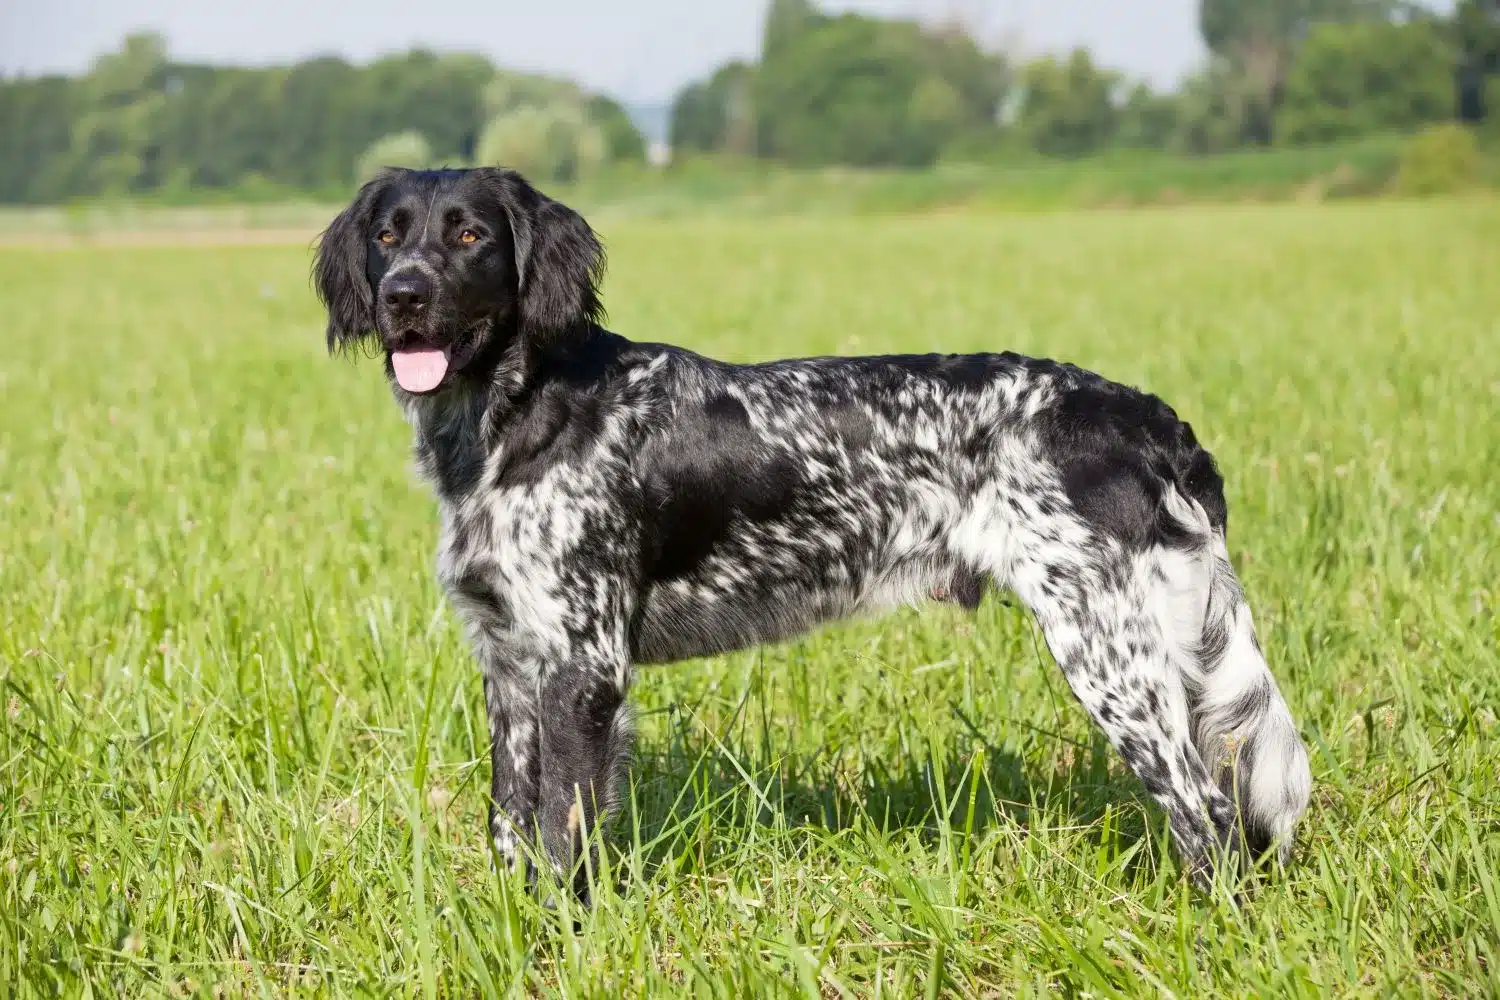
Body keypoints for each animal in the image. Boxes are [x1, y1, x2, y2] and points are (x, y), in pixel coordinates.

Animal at [313, 166, 1314, 899]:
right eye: (388, 235)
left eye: (470, 236)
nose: (403, 295)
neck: (522, 411)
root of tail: (1149, 418)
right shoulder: (511, 662)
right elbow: (512, 826)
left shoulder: (582, 667)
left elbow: (564, 837)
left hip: (1109, 652)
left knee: (1210, 817)